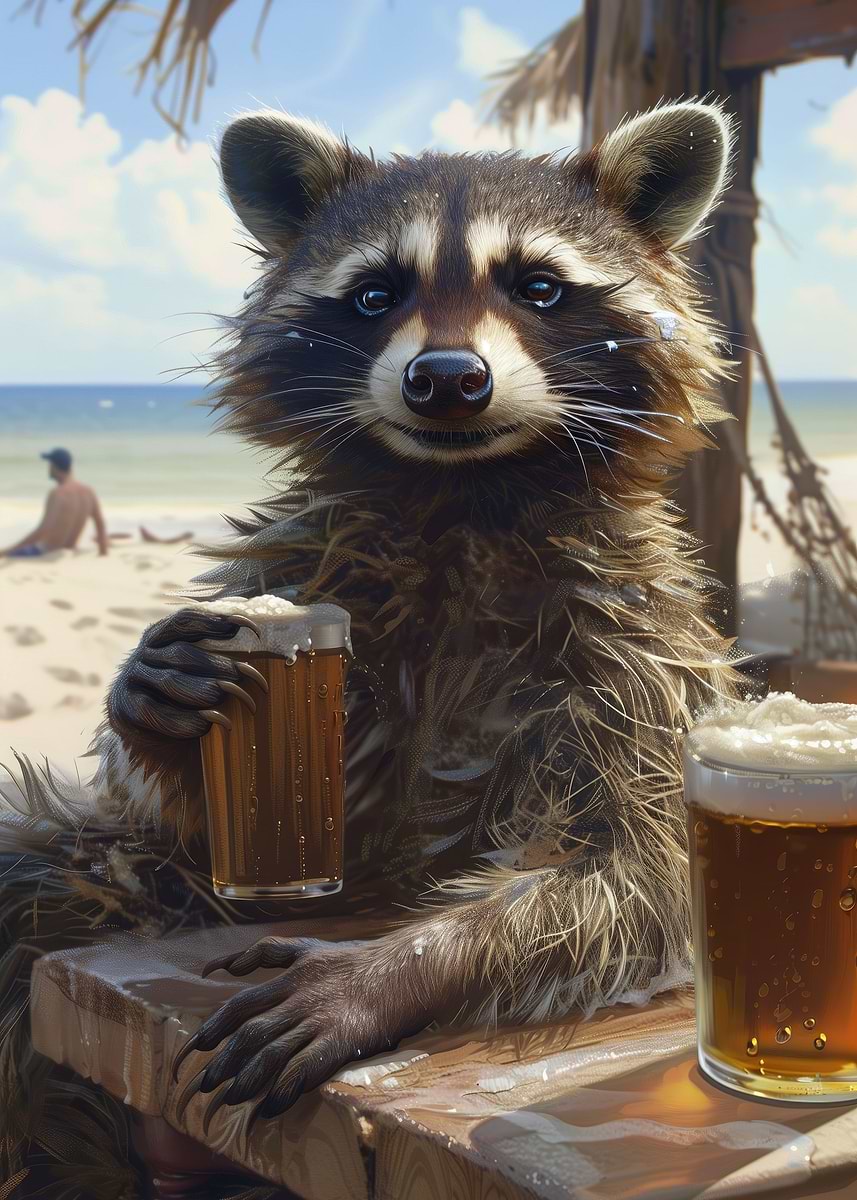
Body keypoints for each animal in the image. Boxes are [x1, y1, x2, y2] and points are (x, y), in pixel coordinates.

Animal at [97, 100, 744, 1122]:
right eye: (374, 295)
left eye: (538, 287)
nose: (445, 378)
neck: (464, 496)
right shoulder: (322, 566)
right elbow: (262, 826)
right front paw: (154, 701)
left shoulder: (635, 633)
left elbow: (641, 872)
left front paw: (386, 969)